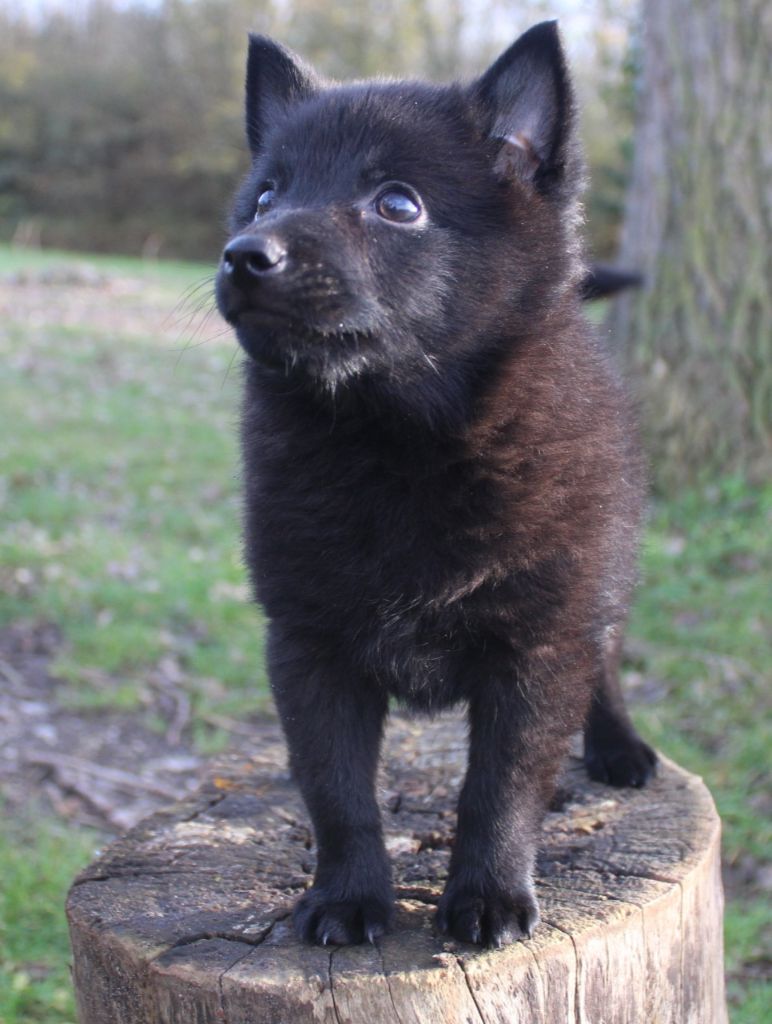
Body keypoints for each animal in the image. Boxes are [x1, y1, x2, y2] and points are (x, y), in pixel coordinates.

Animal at [213, 22, 651, 950]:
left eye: (398, 205)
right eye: (266, 197)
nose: (243, 256)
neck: (394, 443)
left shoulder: (538, 641)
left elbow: (501, 786)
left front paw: (489, 896)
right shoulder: (307, 644)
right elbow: (337, 788)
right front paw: (346, 897)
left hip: (599, 584)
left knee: (603, 666)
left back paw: (619, 749)